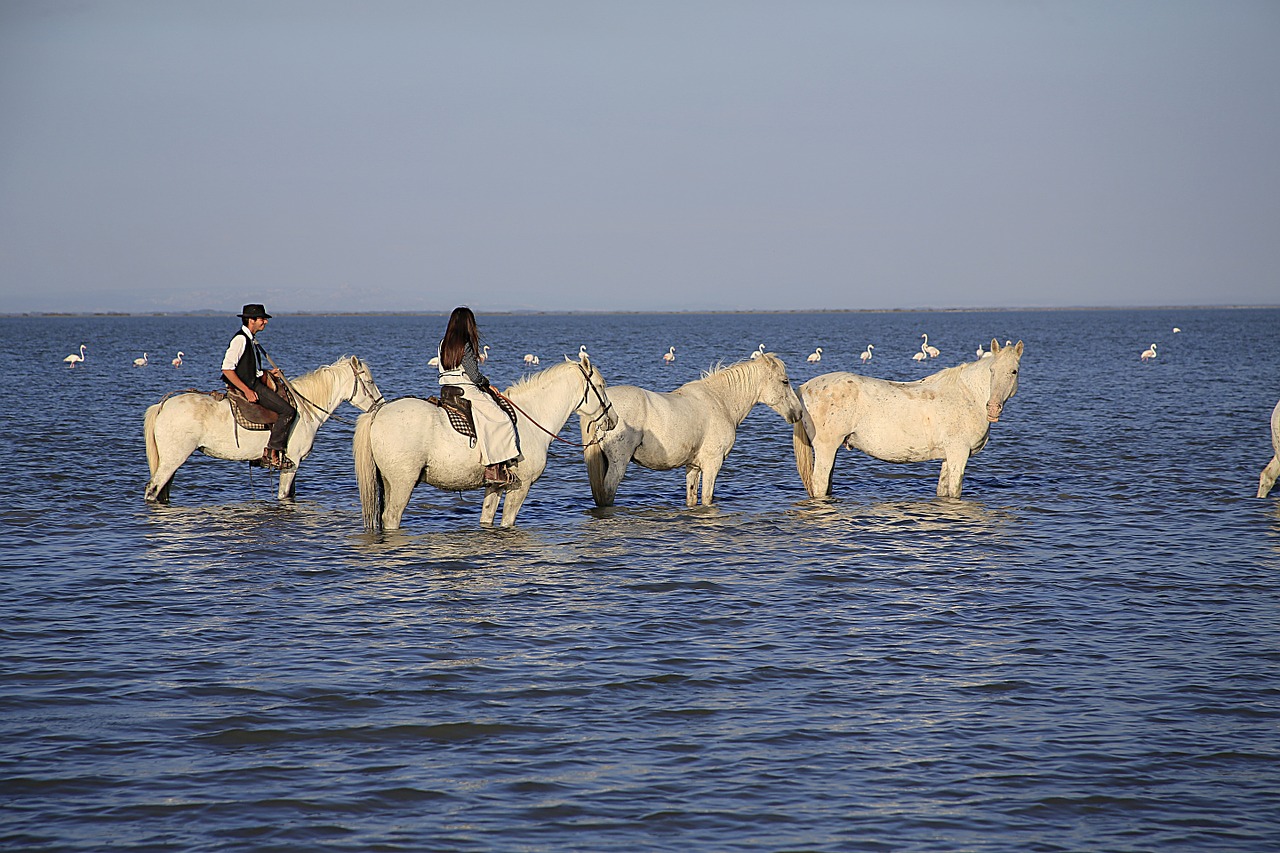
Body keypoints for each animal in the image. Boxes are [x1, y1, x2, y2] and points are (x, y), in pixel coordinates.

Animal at [144, 353, 384, 502]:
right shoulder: (292, 463)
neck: (305, 409)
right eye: (370, 382)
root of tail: (162, 406)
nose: (380, 405)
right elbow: (283, 495)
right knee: (152, 489)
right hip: (173, 458)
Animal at [353, 350, 616, 525]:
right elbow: (507, 521)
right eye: (601, 385)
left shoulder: (495, 486)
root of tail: (379, 412)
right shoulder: (520, 487)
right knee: (392, 518)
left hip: (388, 482)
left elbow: (487, 519)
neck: (531, 415)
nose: (612, 419)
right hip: (402, 483)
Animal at [586, 350, 803, 504]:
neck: (720, 400)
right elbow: (707, 498)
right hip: (618, 464)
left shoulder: (693, 466)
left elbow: (692, 498)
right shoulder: (712, 464)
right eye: (785, 381)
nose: (798, 413)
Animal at [793, 338, 1024, 499]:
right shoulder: (959, 452)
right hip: (826, 448)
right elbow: (956, 489)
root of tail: (804, 388)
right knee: (819, 484)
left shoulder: (948, 455)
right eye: (992, 370)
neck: (968, 394)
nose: (992, 408)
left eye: (1014, 371)